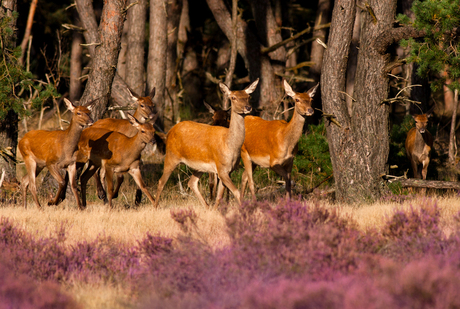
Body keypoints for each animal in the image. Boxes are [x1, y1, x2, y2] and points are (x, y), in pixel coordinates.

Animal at [155, 78, 260, 208]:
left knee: (192, 182)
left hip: (199, 166)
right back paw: (155, 207)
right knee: (161, 181)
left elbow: (220, 196)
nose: (248, 107)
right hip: (171, 156)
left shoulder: (227, 170)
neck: (230, 145)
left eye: (248, 96)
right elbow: (236, 192)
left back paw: (207, 207)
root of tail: (169, 132)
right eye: (233, 97)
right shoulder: (221, 168)